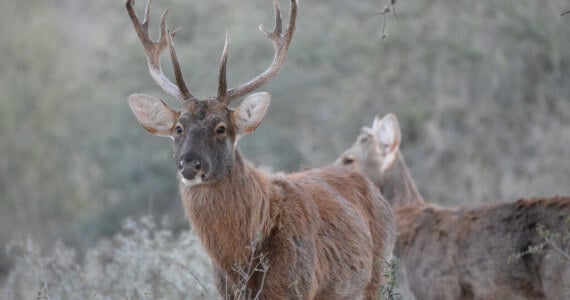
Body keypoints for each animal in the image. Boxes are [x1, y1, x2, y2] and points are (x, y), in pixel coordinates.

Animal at [123, 0, 394, 298]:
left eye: (221, 128)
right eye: (178, 129)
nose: (190, 165)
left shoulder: (295, 285)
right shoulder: (225, 290)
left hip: (378, 274)